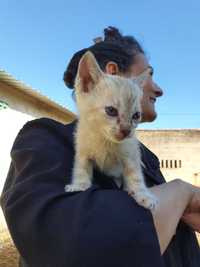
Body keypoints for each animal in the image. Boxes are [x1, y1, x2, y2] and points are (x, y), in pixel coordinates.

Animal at [65, 51, 159, 211]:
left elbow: (135, 176)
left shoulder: (131, 155)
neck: (104, 140)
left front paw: (143, 194)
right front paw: (79, 185)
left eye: (136, 116)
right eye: (111, 111)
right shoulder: (82, 152)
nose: (126, 131)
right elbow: (81, 168)